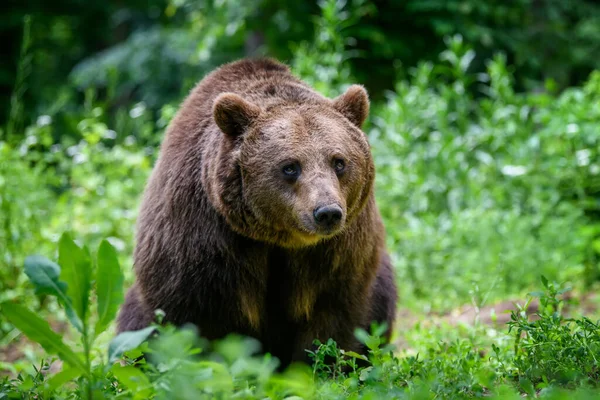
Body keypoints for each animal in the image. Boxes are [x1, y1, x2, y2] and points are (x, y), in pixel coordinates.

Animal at [117, 57, 398, 368]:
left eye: (339, 162)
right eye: (290, 166)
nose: (327, 213)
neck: (279, 239)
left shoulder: (339, 248)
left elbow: (333, 312)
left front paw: (321, 365)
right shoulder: (202, 236)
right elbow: (196, 317)